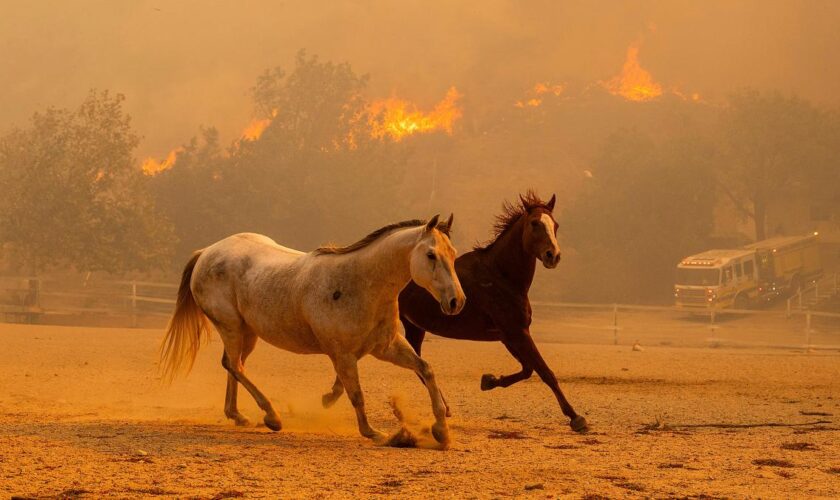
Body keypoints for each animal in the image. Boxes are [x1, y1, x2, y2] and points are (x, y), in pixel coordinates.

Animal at [160, 215, 462, 446]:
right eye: (431, 254)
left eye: (453, 254)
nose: (456, 301)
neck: (360, 283)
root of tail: (206, 252)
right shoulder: (343, 355)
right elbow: (356, 394)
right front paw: (373, 432)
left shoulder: (385, 347)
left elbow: (425, 370)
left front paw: (441, 431)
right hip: (231, 326)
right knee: (234, 366)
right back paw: (272, 417)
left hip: (248, 333)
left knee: (233, 365)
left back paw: (237, 415)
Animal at [398, 191, 584, 434]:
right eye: (534, 223)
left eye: (556, 225)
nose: (553, 255)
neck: (500, 275)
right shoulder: (517, 332)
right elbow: (545, 372)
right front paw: (576, 417)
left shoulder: (509, 335)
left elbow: (528, 369)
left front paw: (488, 381)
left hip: (414, 327)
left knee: (418, 365)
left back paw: (445, 409)